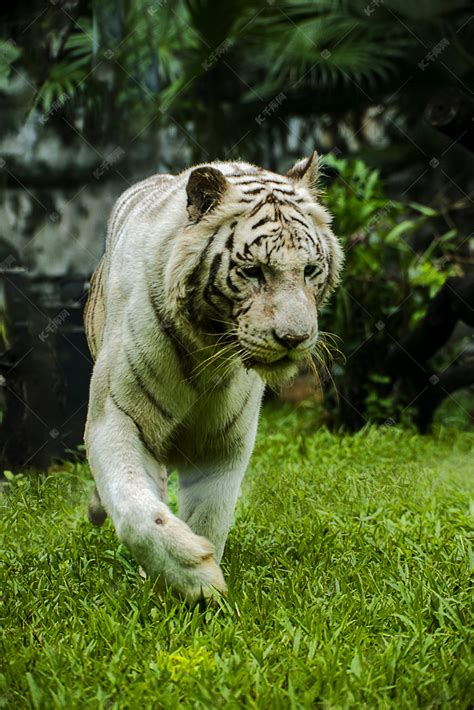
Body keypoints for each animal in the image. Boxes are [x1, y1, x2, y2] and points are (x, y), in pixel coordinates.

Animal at [85, 152, 342, 608]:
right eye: (254, 272)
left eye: (310, 270)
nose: (295, 339)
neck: (208, 351)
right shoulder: (115, 415)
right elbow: (134, 509)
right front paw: (192, 574)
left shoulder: (224, 439)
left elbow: (210, 514)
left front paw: (205, 593)